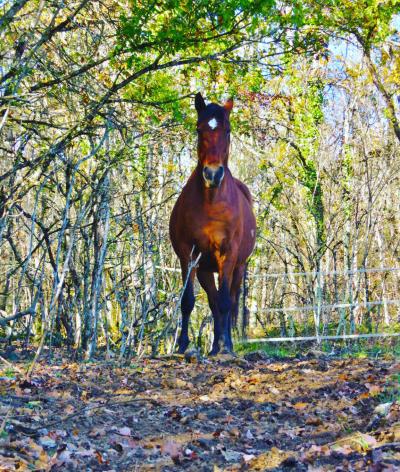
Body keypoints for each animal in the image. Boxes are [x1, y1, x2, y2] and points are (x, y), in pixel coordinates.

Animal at [169, 92, 256, 354]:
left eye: (227, 130)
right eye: (199, 129)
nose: (213, 174)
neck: (211, 203)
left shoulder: (228, 254)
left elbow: (227, 302)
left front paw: (226, 345)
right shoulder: (188, 255)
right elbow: (188, 301)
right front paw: (183, 345)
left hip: (237, 268)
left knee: (230, 299)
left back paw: (224, 344)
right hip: (206, 270)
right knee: (214, 301)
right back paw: (215, 346)